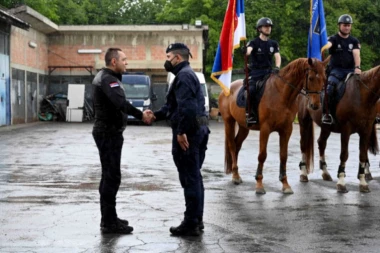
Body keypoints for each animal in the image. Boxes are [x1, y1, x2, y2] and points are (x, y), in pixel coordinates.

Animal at [220, 58, 326, 195]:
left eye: (324, 78)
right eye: (311, 78)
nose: (315, 105)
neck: (281, 94)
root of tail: (228, 87)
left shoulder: (286, 130)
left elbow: (283, 155)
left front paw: (285, 184)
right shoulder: (265, 129)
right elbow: (262, 155)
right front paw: (259, 185)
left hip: (244, 127)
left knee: (237, 145)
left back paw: (235, 173)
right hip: (229, 122)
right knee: (232, 146)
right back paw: (235, 176)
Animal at [298, 64, 378, 192]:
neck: (362, 94)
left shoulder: (366, 130)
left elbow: (363, 154)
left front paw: (363, 182)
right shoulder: (346, 129)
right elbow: (344, 154)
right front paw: (341, 182)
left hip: (326, 127)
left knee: (321, 143)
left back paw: (325, 173)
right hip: (304, 122)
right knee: (304, 145)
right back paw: (304, 173)